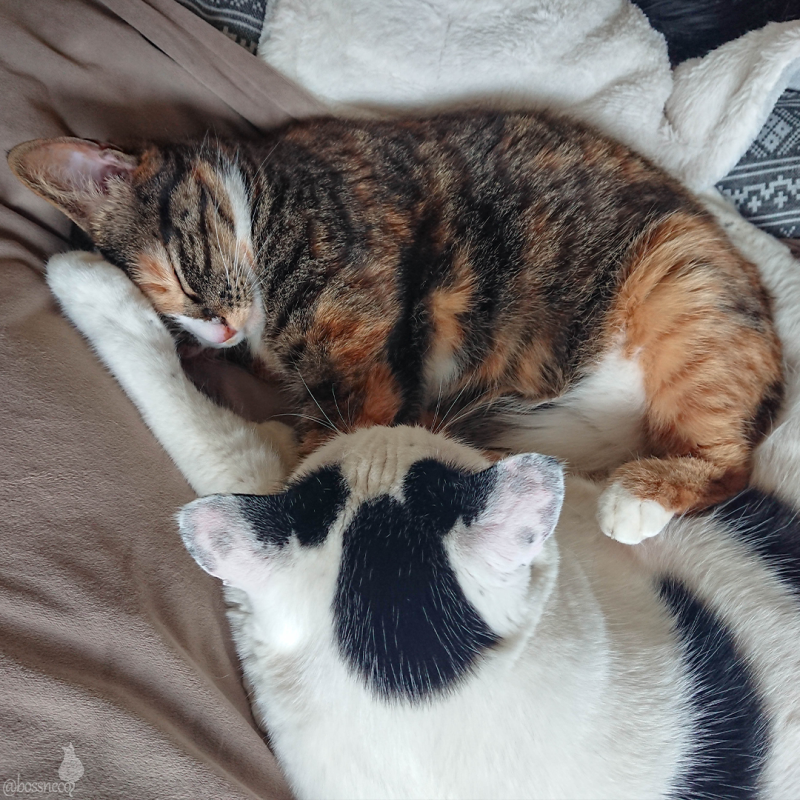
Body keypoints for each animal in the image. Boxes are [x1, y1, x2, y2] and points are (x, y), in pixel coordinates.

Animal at [9, 108, 784, 542]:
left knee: (732, 463)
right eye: (179, 321)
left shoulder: (361, 389)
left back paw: (639, 499)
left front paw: (92, 290)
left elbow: (257, 472)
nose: (217, 334)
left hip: (682, 281)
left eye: (174, 271)